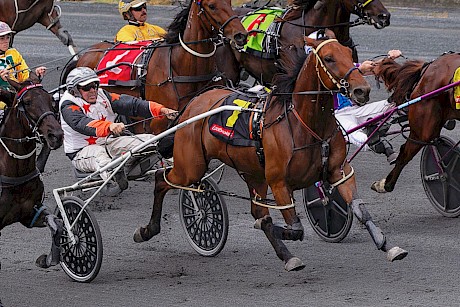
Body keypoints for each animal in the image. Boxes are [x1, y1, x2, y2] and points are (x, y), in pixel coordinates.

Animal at [0, 77, 65, 272]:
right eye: (27, 102)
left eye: (51, 99)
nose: (56, 135)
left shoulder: (28, 214)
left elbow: (57, 223)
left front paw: (47, 258)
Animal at [71, 0, 248, 135]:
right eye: (212, 6)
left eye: (229, 2)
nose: (241, 35)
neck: (180, 66)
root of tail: (86, 53)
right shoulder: (160, 122)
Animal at [132, 30, 406, 272]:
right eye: (328, 58)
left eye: (349, 54)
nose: (362, 90)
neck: (305, 124)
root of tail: (194, 103)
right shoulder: (279, 182)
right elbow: (294, 228)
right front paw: (269, 228)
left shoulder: (339, 171)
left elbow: (360, 209)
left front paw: (387, 245)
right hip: (191, 166)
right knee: (162, 179)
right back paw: (146, 230)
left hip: (251, 172)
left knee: (255, 206)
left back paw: (287, 256)